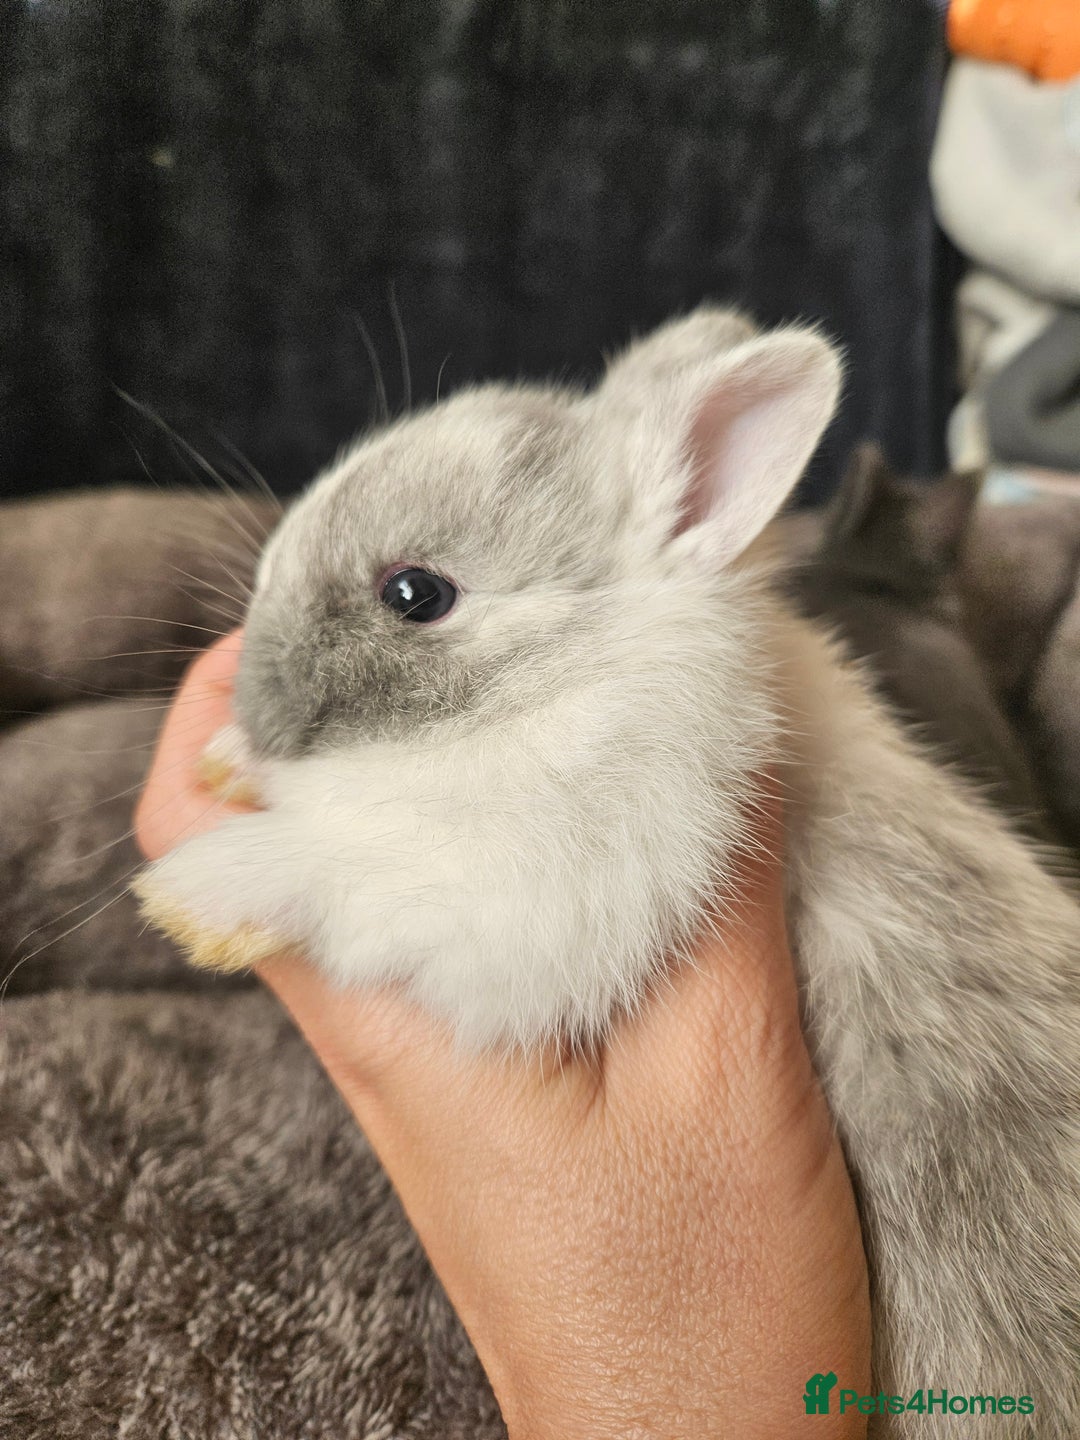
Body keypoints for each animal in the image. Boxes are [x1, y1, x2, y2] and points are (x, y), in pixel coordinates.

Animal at [136, 308, 1080, 1437]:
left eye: (415, 594)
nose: (263, 714)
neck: (569, 670)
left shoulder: (548, 883)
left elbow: (352, 856)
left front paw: (190, 893)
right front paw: (230, 763)